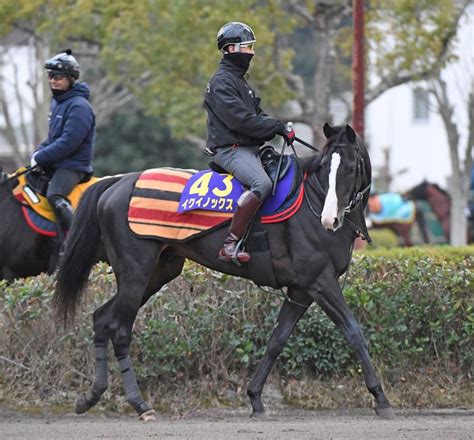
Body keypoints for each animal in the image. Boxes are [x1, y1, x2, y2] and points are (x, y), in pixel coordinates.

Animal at [54, 123, 396, 420]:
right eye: (326, 166)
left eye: (349, 168)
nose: (330, 220)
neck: (310, 201)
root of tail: (118, 182)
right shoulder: (320, 281)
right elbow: (354, 331)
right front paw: (380, 398)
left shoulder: (301, 289)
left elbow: (277, 340)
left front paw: (255, 397)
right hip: (135, 273)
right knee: (121, 330)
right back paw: (140, 404)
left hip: (157, 273)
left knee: (102, 319)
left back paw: (91, 396)